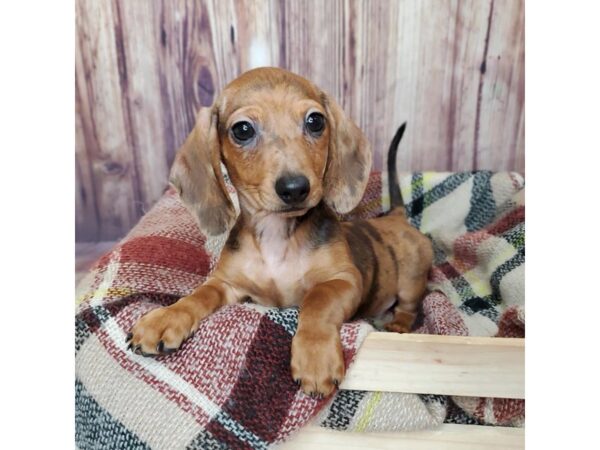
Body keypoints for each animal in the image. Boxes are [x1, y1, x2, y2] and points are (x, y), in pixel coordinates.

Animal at [129, 67, 434, 398]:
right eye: (243, 130)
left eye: (315, 121)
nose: (295, 188)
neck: (278, 235)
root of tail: (396, 217)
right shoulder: (227, 284)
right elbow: (199, 295)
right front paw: (166, 317)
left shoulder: (343, 280)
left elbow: (317, 300)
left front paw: (315, 356)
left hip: (411, 282)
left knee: (409, 307)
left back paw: (398, 326)